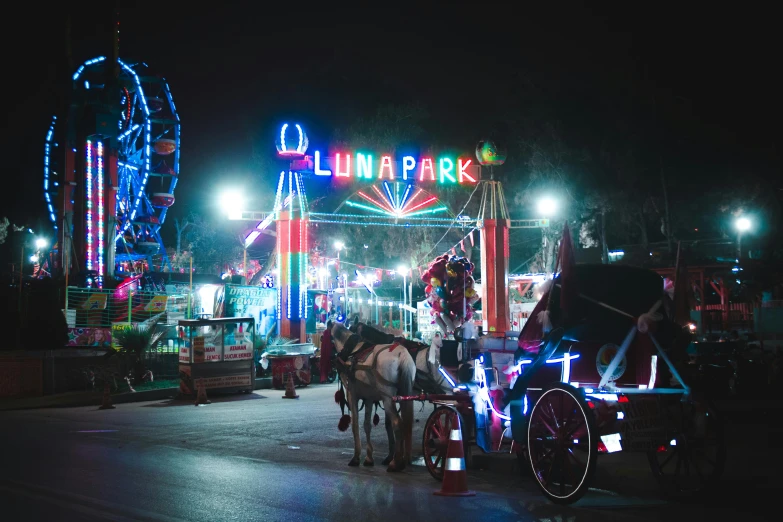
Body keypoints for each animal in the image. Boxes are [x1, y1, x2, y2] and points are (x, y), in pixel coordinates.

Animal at [330, 322, 416, 470]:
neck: (351, 351)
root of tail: (401, 354)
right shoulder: (369, 398)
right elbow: (367, 425)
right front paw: (369, 458)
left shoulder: (352, 394)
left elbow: (355, 425)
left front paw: (356, 457)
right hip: (405, 393)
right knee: (405, 423)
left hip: (388, 399)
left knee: (397, 423)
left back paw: (395, 462)